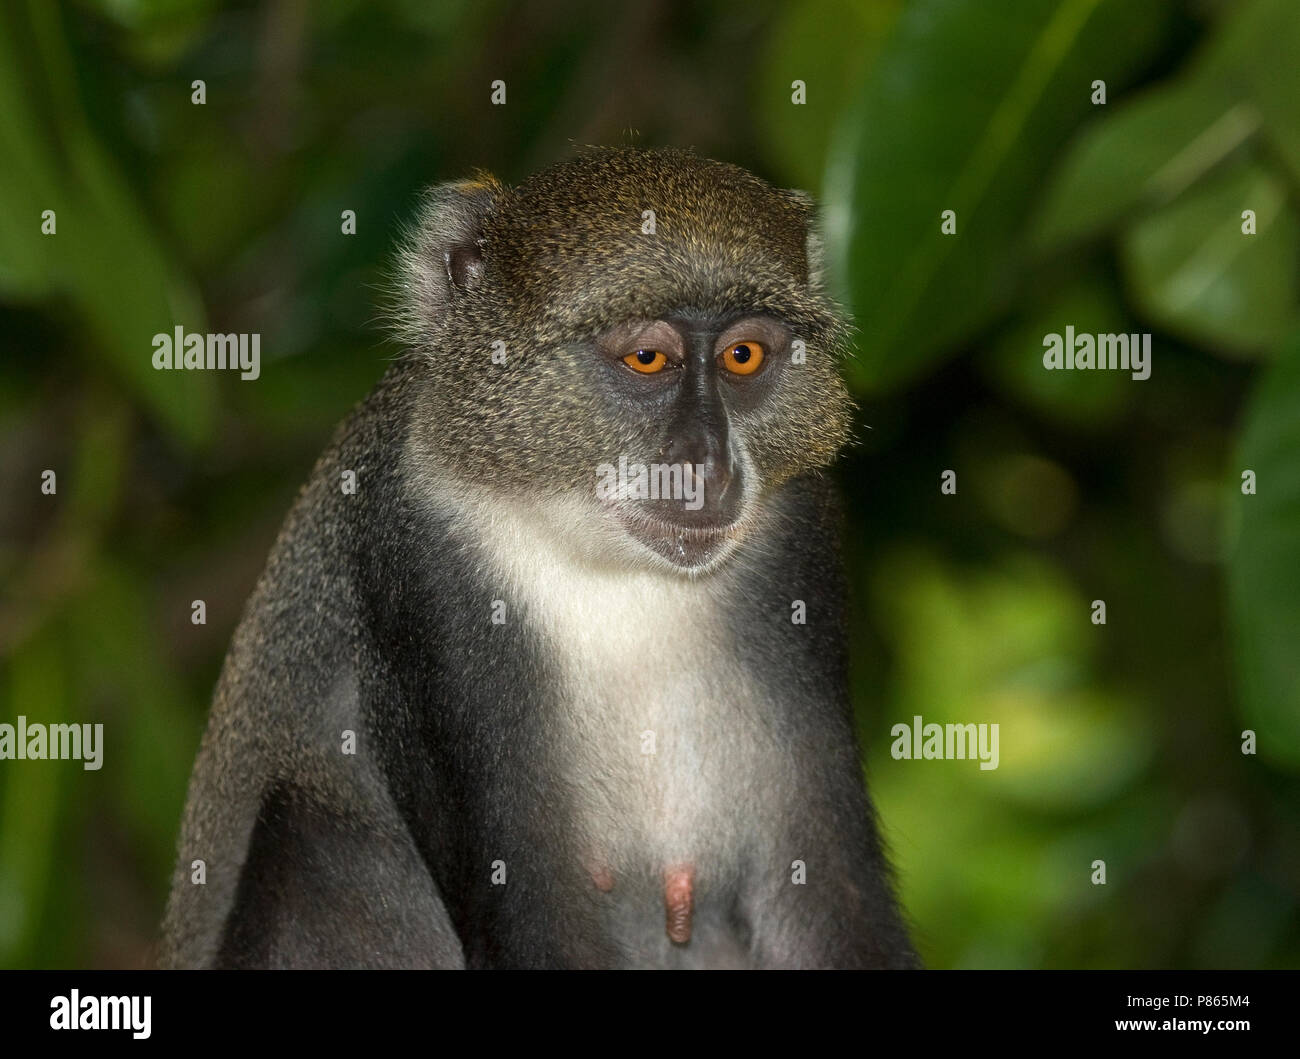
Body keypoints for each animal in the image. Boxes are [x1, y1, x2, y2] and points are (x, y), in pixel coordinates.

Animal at [159, 146, 919, 969]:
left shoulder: (795, 536)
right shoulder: (422, 556)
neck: (609, 558)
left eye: (743, 357)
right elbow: (528, 912)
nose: (709, 467)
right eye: (648, 358)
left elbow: (823, 892)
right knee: (309, 840)